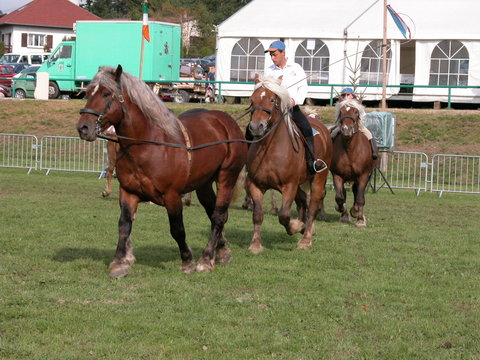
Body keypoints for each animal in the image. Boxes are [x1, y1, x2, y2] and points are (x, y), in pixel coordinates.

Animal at [76, 65, 248, 278]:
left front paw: (187, 261)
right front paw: (120, 262)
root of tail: (227, 121)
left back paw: (207, 258)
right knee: (215, 213)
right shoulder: (128, 193)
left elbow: (177, 229)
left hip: (226, 177)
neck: (147, 145)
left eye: (106, 94)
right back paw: (222, 251)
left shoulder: (172, 196)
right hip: (203, 184)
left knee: (218, 216)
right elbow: (124, 225)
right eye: (88, 93)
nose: (83, 127)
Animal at [246, 74, 332, 252]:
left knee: (312, 207)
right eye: (252, 99)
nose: (256, 127)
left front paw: (297, 227)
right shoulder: (255, 185)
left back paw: (306, 239)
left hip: (318, 180)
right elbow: (257, 215)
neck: (269, 149)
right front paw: (255, 245)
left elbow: (284, 216)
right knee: (303, 203)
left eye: (272, 99)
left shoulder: (289, 186)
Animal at [330, 98, 378, 226]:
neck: (350, 149)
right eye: (341, 112)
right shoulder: (337, 175)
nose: (347, 130)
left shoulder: (364, 175)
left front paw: (358, 216)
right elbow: (340, 197)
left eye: (356, 112)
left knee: (357, 194)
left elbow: (360, 198)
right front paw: (343, 212)